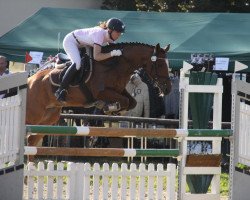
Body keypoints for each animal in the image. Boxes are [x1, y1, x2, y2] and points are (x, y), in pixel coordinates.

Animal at [26, 41, 172, 146]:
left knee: (32, 139)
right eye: (160, 65)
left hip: (49, 117)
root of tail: (29, 80)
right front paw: (110, 107)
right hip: (34, 114)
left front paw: (113, 109)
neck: (114, 65)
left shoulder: (119, 91)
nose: (167, 89)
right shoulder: (102, 92)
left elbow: (132, 102)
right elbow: (125, 102)